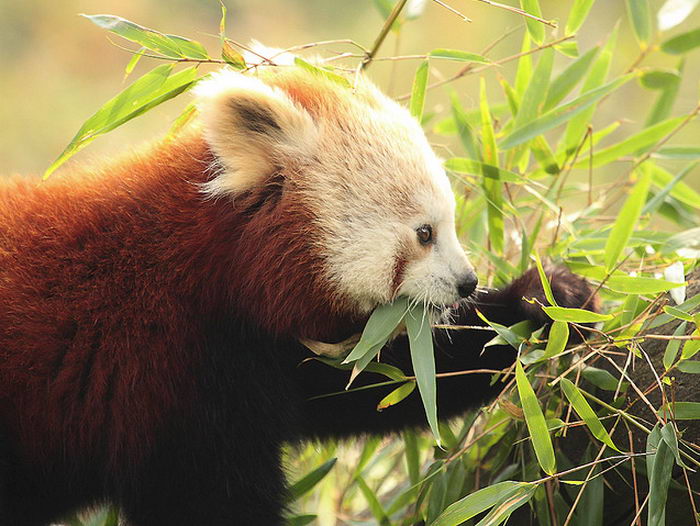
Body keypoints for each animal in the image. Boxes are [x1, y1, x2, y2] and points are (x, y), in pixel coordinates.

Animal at [0, 63, 596, 526]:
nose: (468, 282)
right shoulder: (166, 369)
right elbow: (211, 498)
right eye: (424, 233)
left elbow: (379, 381)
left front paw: (544, 301)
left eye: (446, 224)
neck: (213, 269)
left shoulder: (264, 355)